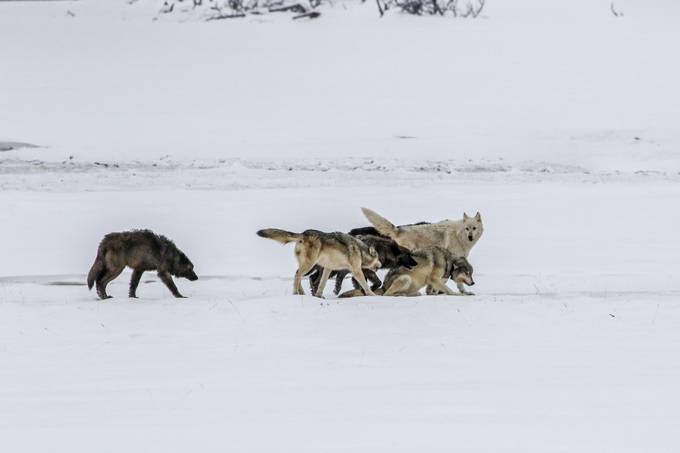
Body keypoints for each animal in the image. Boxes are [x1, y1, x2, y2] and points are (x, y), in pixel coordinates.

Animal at [340, 247, 473, 298]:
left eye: (471, 273)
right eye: (467, 273)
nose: (473, 283)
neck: (447, 261)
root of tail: (384, 286)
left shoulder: (436, 281)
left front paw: (467, 292)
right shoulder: (434, 279)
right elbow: (448, 290)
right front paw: (457, 294)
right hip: (406, 279)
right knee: (386, 294)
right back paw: (399, 295)